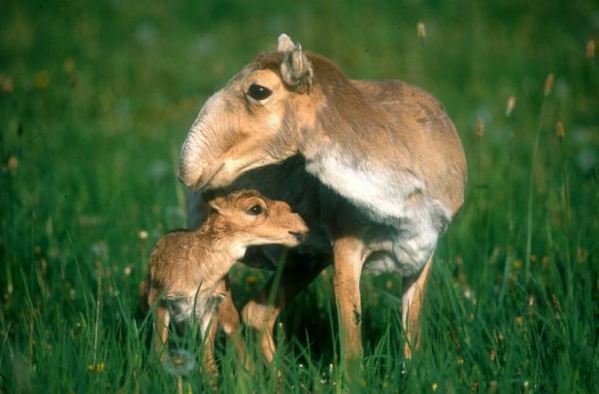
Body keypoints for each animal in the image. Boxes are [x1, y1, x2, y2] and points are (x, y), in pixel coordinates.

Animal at [176, 33, 466, 364]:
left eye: (258, 89)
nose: (190, 168)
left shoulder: (422, 255)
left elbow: (412, 340)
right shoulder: (346, 252)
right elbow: (352, 350)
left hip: (304, 261)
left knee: (256, 314)